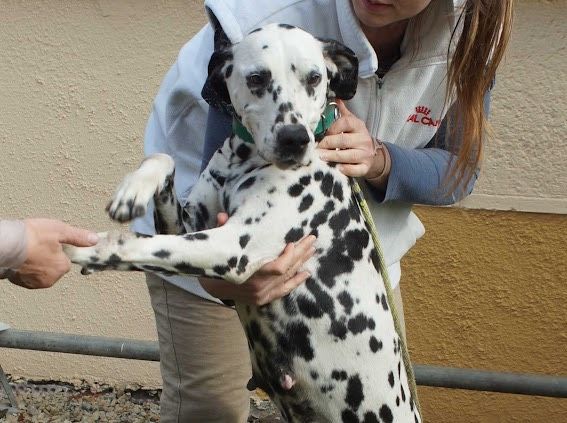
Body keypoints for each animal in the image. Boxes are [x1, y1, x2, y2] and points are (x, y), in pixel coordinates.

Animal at [65, 24, 422, 423]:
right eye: (256, 78)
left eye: (314, 77)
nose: (294, 139)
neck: (246, 161)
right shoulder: (186, 222)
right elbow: (163, 159)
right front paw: (133, 189)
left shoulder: (233, 246)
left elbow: (148, 246)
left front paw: (99, 249)